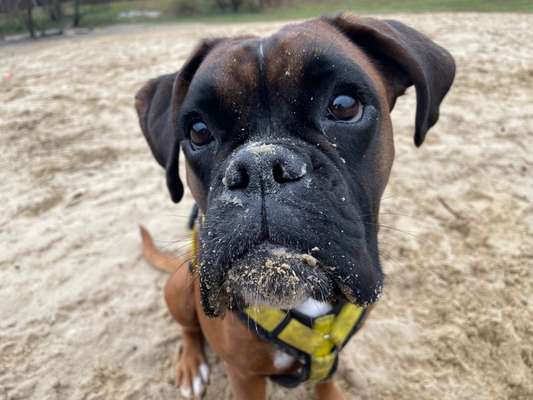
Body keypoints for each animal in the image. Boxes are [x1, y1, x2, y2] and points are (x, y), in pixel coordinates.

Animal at [135, 13, 456, 400]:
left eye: (344, 106)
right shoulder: (245, 377)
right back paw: (191, 364)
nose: (259, 166)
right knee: (188, 328)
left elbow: (327, 382)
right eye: (198, 131)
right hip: (183, 285)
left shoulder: (329, 358)